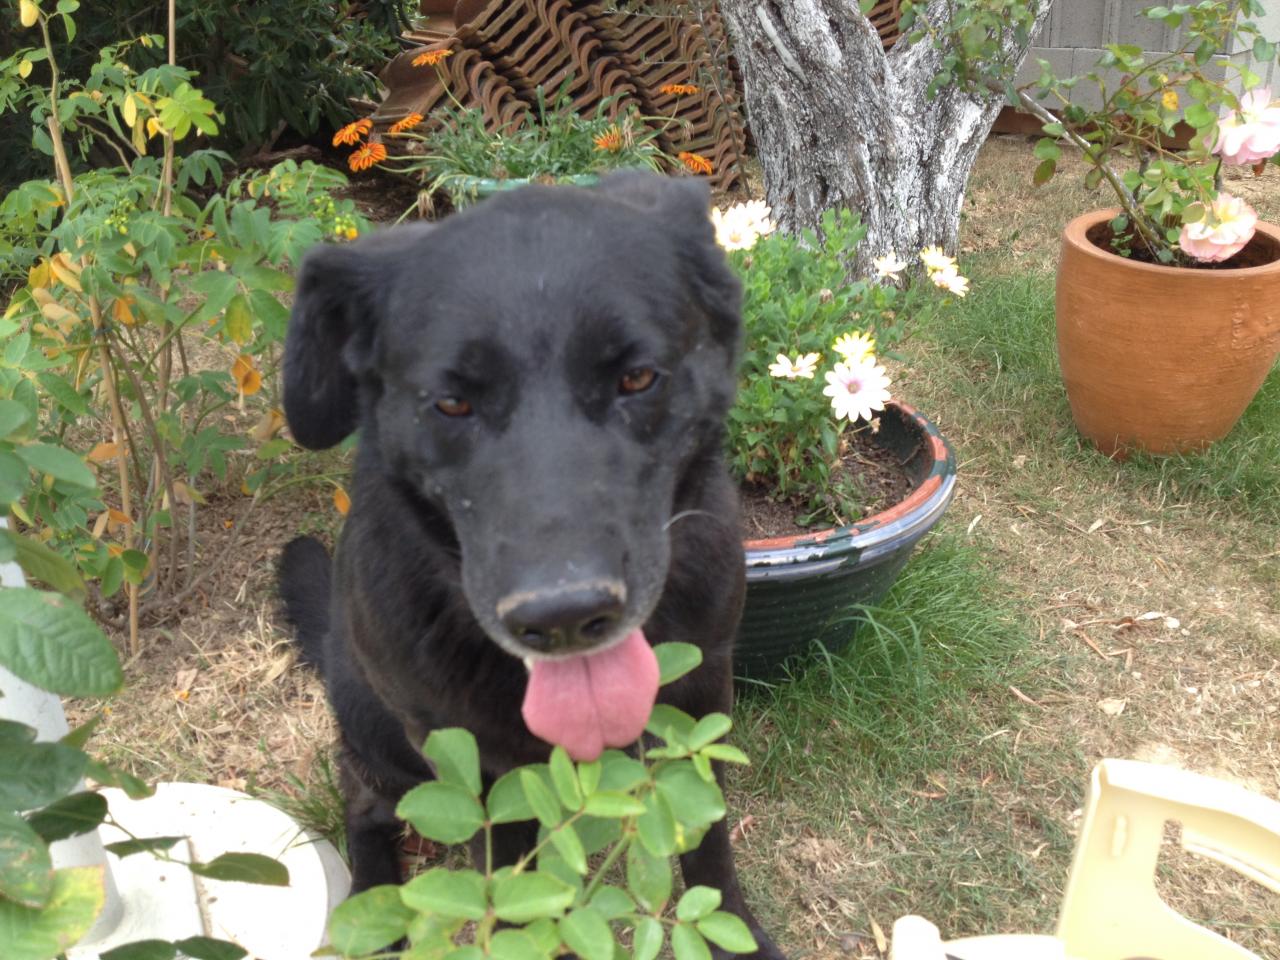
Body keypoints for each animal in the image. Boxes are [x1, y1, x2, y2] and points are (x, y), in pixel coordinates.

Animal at [280, 172, 778, 960]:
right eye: (451, 402)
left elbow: (705, 832)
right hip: (370, 723)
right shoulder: (466, 757)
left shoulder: (703, 689)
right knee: (362, 799)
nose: (565, 616)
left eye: (639, 377)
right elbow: (507, 883)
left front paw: (733, 933)